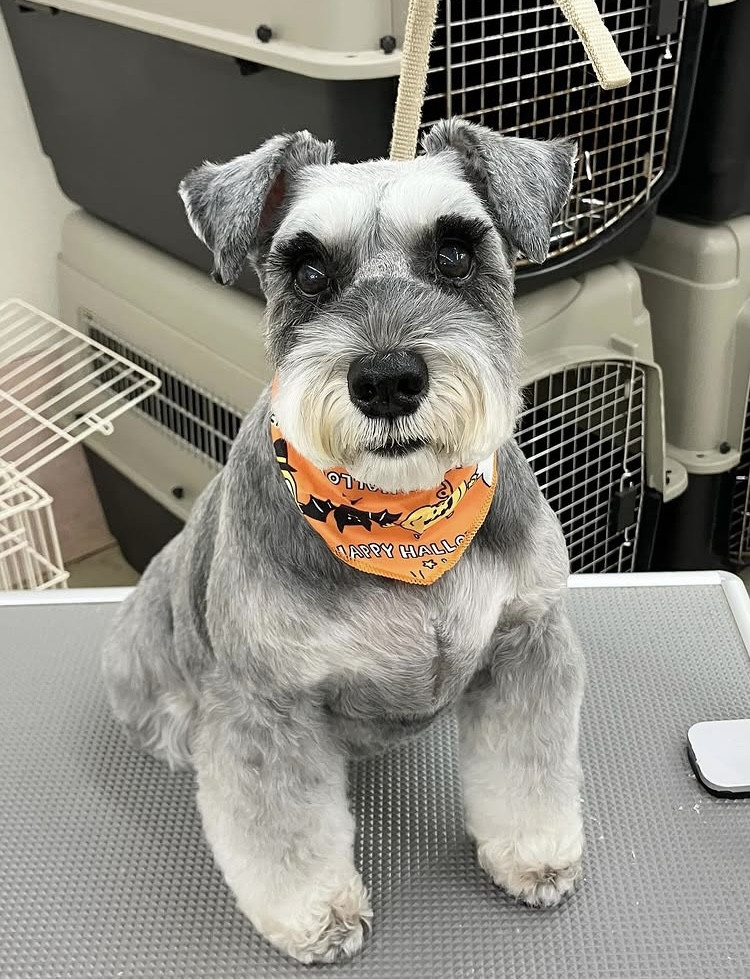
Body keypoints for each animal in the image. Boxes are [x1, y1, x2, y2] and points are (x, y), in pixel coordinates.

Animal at [102, 118, 585, 964]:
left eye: (455, 253)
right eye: (309, 271)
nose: (386, 378)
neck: (406, 517)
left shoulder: (528, 641)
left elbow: (530, 763)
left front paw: (535, 853)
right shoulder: (266, 703)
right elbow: (283, 826)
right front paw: (316, 914)